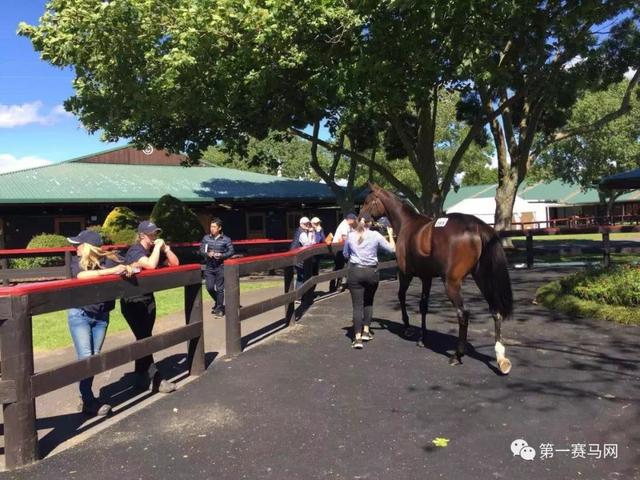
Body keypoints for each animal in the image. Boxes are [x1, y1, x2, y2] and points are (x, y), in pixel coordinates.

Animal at [360, 184, 516, 376]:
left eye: (367, 201)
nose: (360, 219)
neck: (407, 224)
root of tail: (477, 227)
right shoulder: (426, 277)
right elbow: (423, 306)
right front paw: (422, 337)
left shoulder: (405, 274)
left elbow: (401, 297)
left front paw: (408, 327)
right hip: (482, 279)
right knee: (495, 311)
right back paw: (501, 358)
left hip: (452, 283)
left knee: (463, 313)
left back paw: (457, 355)